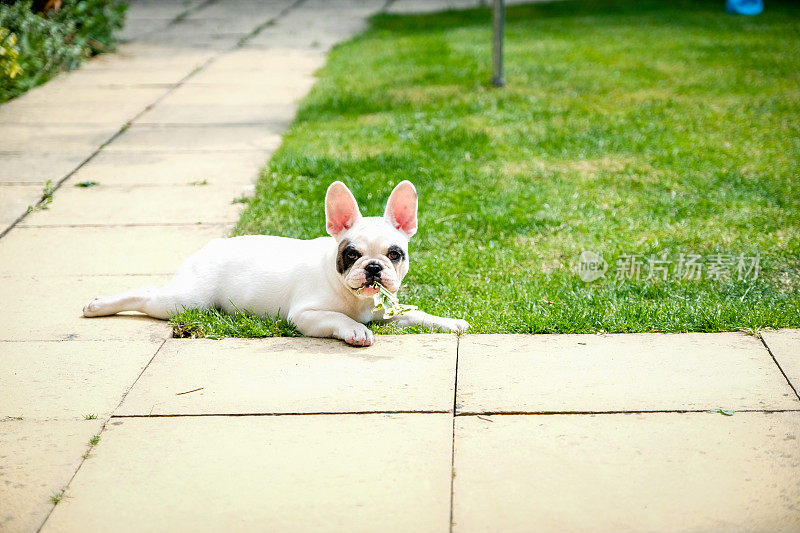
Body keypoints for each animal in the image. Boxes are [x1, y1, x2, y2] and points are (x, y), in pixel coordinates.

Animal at [83, 179, 468, 344]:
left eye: (394, 254)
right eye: (351, 255)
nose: (373, 267)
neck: (355, 298)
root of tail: (209, 247)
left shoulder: (388, 312)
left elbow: (417, 314)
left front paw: (449, 322)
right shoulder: (305, 315)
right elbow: (336, 318)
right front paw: (356, 330)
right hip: (186, 301)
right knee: (147, 295)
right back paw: (98, 305)